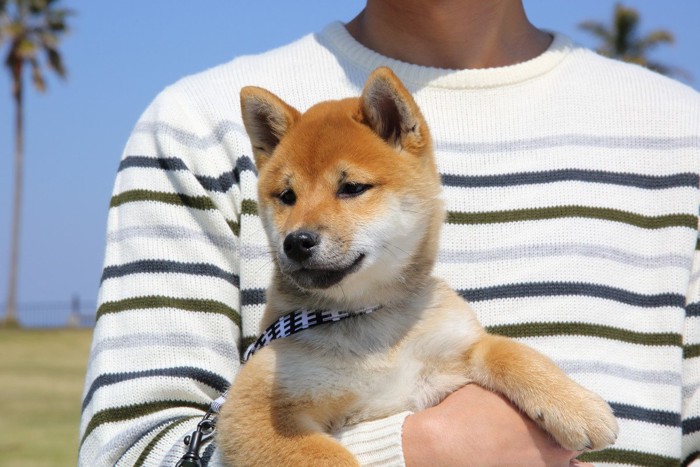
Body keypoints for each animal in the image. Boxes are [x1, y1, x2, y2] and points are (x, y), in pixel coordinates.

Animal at [220, 67, 616, 466]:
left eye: (352, 188)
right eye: (287, 196)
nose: (296, 241)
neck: (369, 319)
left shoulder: (458, 346)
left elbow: (511, 351)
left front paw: (576, 405)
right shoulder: (254, 407)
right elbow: (327, 458)